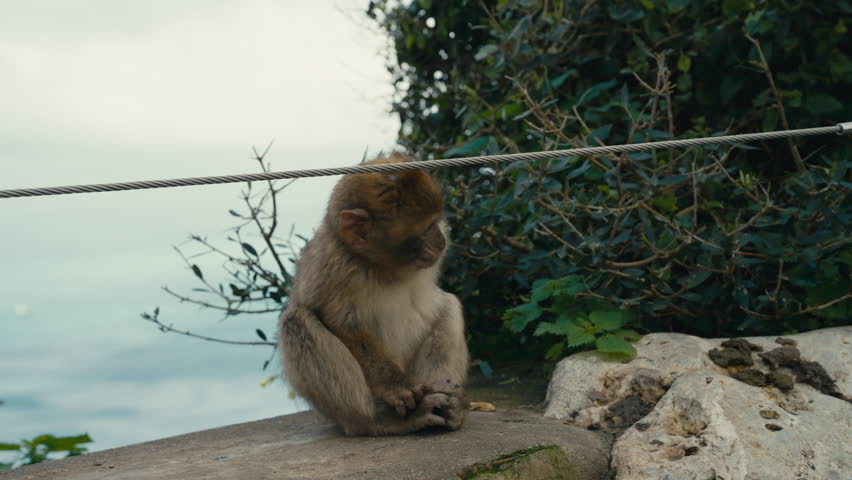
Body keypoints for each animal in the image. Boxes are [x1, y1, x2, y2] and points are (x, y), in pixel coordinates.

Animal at [278, 153, 470, 436]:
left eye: (435, 222)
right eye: (425, 229)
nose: (440, 242)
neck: (381, 266)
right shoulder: (332, 265)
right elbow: (337, 320)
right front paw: (396, 385)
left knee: (449, 305)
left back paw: (447, 405)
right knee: (295, 322)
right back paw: (379, 420)